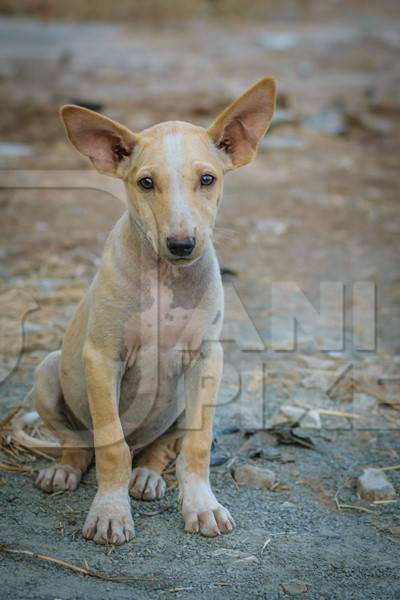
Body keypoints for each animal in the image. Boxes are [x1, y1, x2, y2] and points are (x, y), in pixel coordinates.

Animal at [27, 78, 276, 544]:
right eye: (146, 183)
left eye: (207, 179)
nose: (182, 245)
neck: (166, 279)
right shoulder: (102, 358)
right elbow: (111, 446)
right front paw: (110, 512)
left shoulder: (207, 358)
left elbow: (197, 445)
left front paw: (202, 506)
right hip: (48, 372)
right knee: (82, 443)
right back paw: (65, 471)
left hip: (179, 403)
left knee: (158, 448)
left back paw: (147, 476)